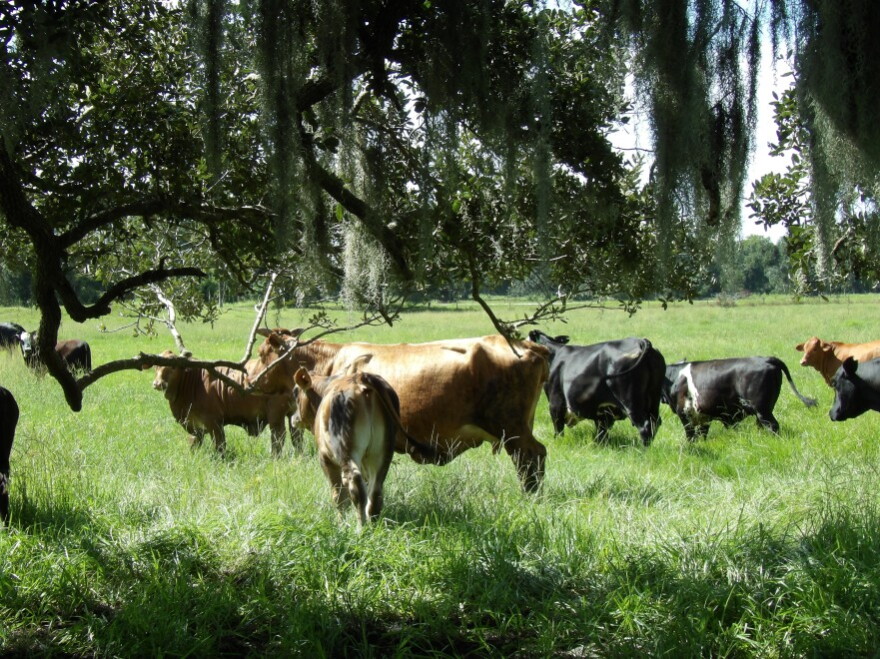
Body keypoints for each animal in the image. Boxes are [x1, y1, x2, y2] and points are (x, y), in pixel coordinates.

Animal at [150, 333, 297, 456]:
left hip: (276, 416)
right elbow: (194, 444)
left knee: (278, 438)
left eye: (173, 367)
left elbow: (220, 446)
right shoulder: (195, 426)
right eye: (156, 366)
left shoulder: (214, 422)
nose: (157, 383)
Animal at [262, 331, 550, 492]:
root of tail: (530, 347)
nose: (254, 381)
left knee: (532, 457)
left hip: (512, 428)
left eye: (264, 354)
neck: (333, 363)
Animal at [293, 357, 431, 526]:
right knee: (376, 491)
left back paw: (360, 527)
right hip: (382, 453)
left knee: (355, 485)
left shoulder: (325, 458)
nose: (294, 418)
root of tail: (360, 378)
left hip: (346, 451)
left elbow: (338, 495)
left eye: (295, 393)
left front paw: (341, 523)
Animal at [527, 330, 666, 446]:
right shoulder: (602, 412)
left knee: (644, 426)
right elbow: (601, 433)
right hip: (653, 400)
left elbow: (558, 428)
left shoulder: (555, 402)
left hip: (631, 401)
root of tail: (641, 342)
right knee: (655, 422)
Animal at [662, 357, 817, 439]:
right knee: (762, 426)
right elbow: (702, 434)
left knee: (773, 426)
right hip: (765, 409)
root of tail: (767, 358)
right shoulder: (703, 416)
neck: (675, 377)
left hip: (762, 409)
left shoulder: (684, 413)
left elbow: (690, 435)